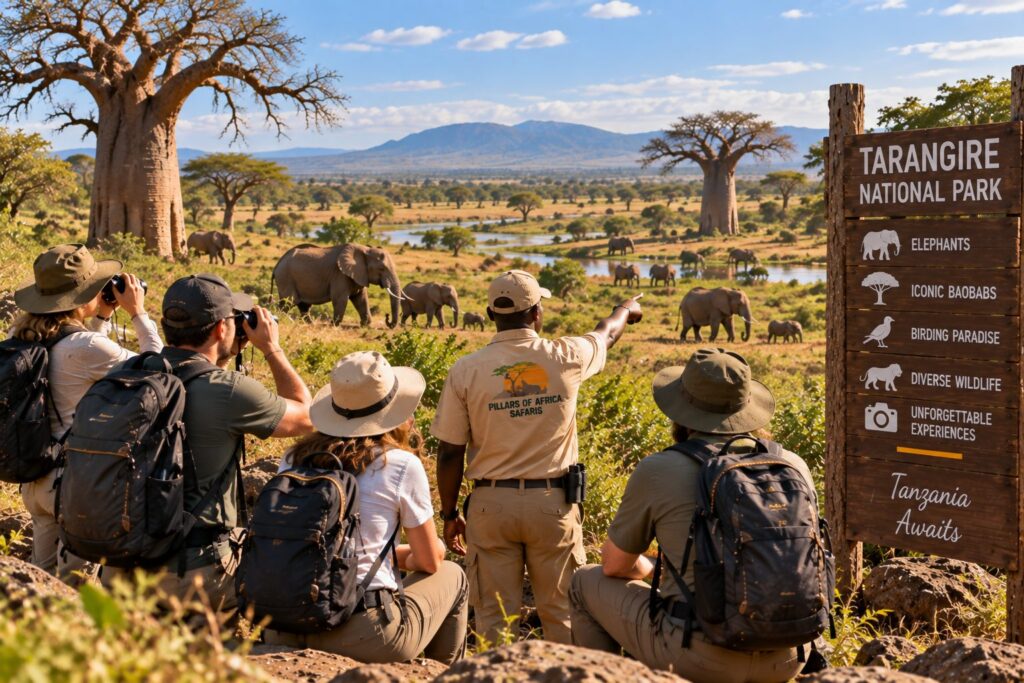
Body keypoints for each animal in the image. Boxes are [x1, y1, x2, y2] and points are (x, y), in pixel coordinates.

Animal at [271, 243, 402, 327]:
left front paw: (365, 325)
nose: (387, 317)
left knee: (303, 305)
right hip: (286, 278)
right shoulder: (340, 274)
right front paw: (334, 324)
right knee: (288, 303)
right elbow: (340, 298)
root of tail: (277, 265)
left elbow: (361, 299)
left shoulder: (358, 275)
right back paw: (284, 321)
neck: (365, 249)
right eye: (382, 268)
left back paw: (310, 324)